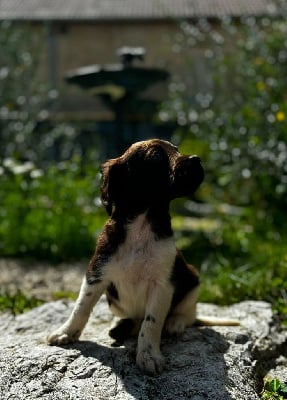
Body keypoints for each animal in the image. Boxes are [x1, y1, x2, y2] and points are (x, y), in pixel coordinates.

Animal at [47, 140, 236, 376]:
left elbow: (152, 322)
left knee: (187, 312)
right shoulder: (96, 272)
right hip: (115, 301)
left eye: (177, 149)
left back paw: (175, 323)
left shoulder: (163, 284)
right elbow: (81, 306)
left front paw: (148, 355)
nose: (196, 159)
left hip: (193, 278)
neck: (142, 223)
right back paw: (120, 326)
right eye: (155, 156)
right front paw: (65, 332)